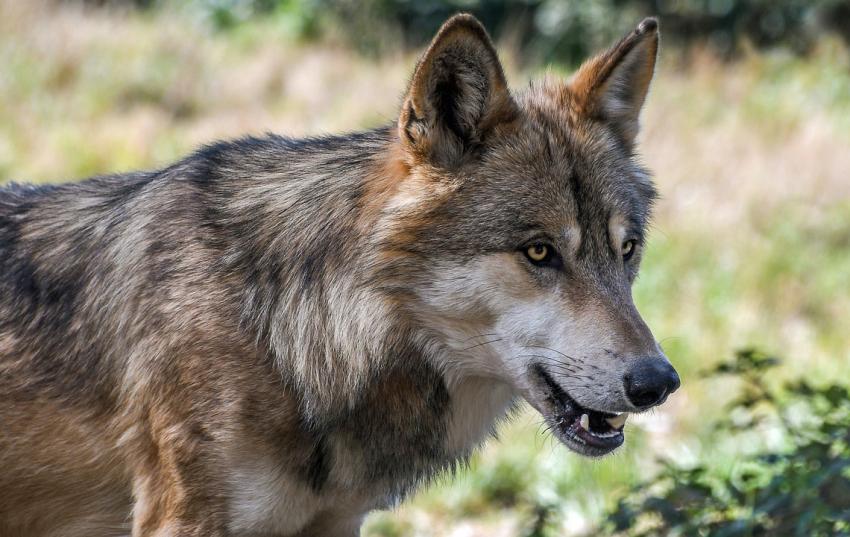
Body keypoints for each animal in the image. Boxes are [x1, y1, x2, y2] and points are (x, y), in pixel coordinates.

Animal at [0, 13, 679, 537]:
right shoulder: (182, 519)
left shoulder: (336, 522)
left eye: (626, 250)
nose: (659, 382)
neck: (286, 332)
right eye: (539, 252)